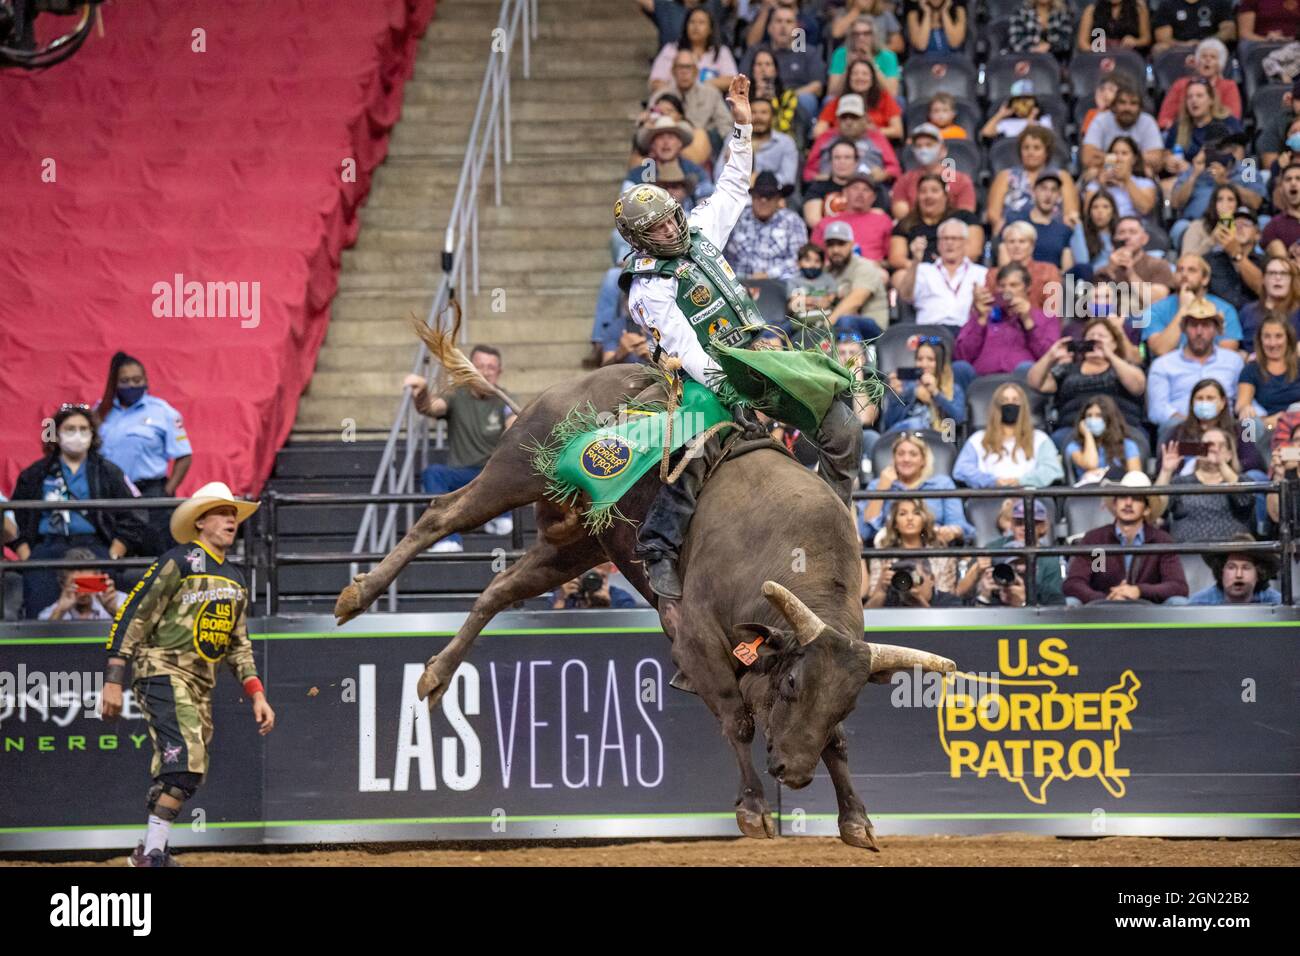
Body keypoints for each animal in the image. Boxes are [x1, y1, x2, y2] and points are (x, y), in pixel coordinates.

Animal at [335, 323, 956, 853]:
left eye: (847, 699)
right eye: (791, 684)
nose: (795, 774)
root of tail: (576, 383)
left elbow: (838, 744)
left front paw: (856, 819)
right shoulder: (697, 640)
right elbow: (736, 718)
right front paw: (755, 809)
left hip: (581, 542)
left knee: (500, 589)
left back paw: (436, 673)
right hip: (517, 469)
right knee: (440, 515)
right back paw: (357, 595)